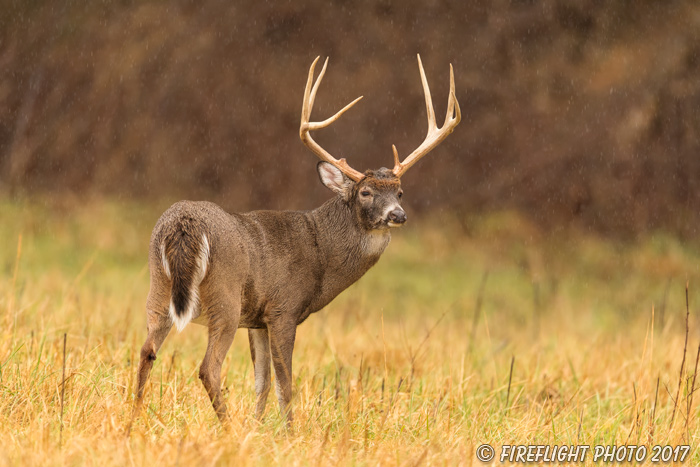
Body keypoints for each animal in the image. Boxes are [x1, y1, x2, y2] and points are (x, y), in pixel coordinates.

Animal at [130, 54, 460, 428]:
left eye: (400, 192)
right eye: (365, 192)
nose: (398, 215)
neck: (320, 251)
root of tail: (183, 224)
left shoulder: (256, 318)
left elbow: (261, 381)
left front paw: (257, 427)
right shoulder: (282, 309)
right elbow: (284, 383)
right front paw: (288, 431)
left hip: (158, 290)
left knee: (146, 351)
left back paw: (134, 419)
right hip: (224, 298)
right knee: (208, 368)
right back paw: (225, 426)